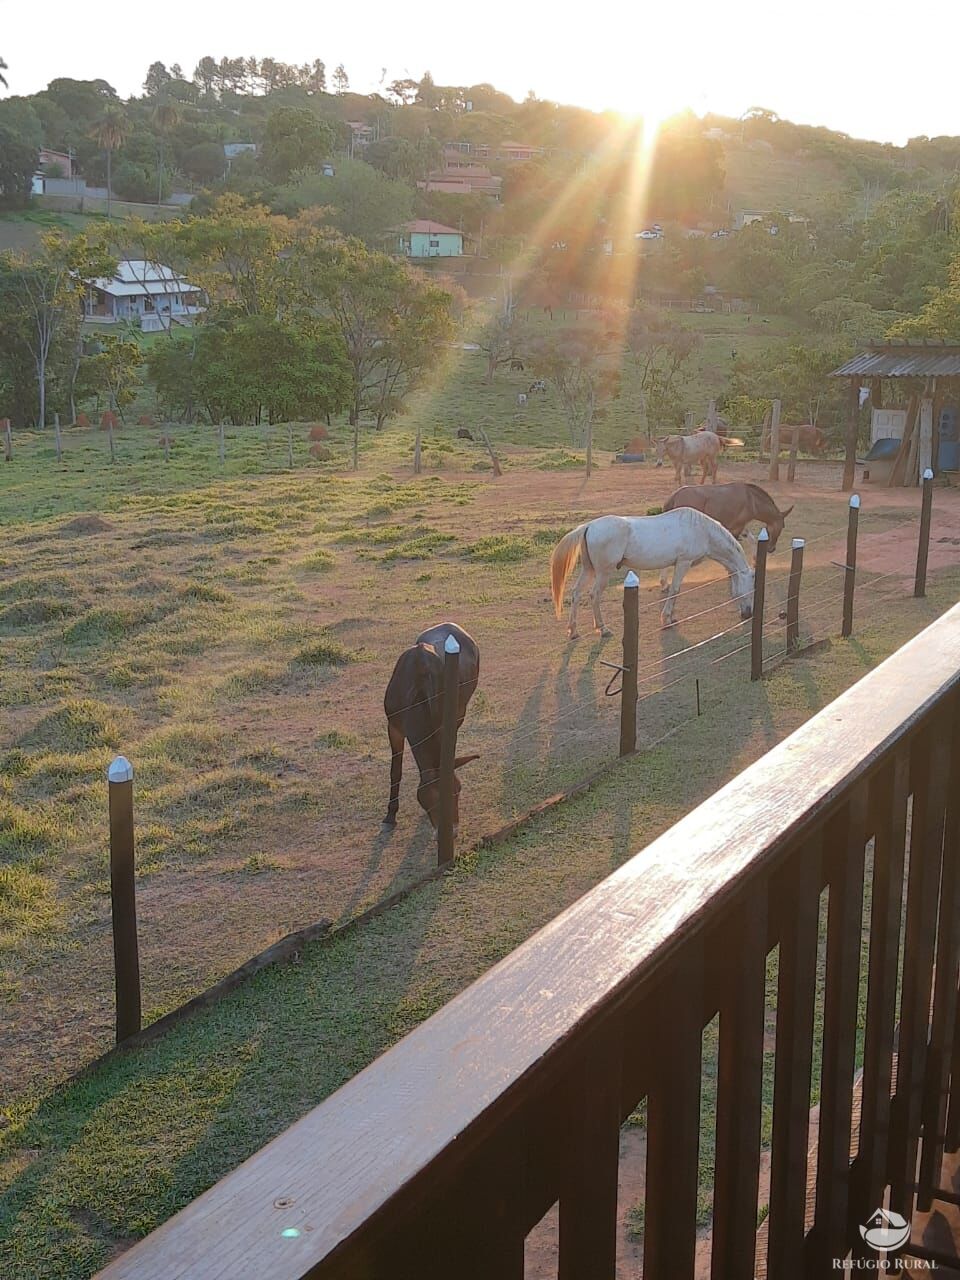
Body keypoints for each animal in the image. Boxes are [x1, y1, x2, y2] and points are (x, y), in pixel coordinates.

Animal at [378, 619, 478, 829]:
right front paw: (390, 814)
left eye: (458, 790)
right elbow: (395, 771)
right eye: (432, 799)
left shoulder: (441, 724)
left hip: (459, 712)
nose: (452, 830)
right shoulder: (394, 727)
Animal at [552, 504, 757, 634]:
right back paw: (603, 629)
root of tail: (588, 526)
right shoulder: (683, 563)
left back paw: (573, 631)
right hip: (603, 573)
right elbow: (675, 590)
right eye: (751, 588)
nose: (748, 614)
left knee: (576, 593)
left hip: (589, 570)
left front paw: (671, 617)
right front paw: (666, 619)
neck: (702, 530)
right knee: (594, 595)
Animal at [665, 481, 793, 552]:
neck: (752, 500)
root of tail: (674, 495)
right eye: (782, 527)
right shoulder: (737, 527)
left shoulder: (740, 525)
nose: (771, 549)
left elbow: (751, 540)